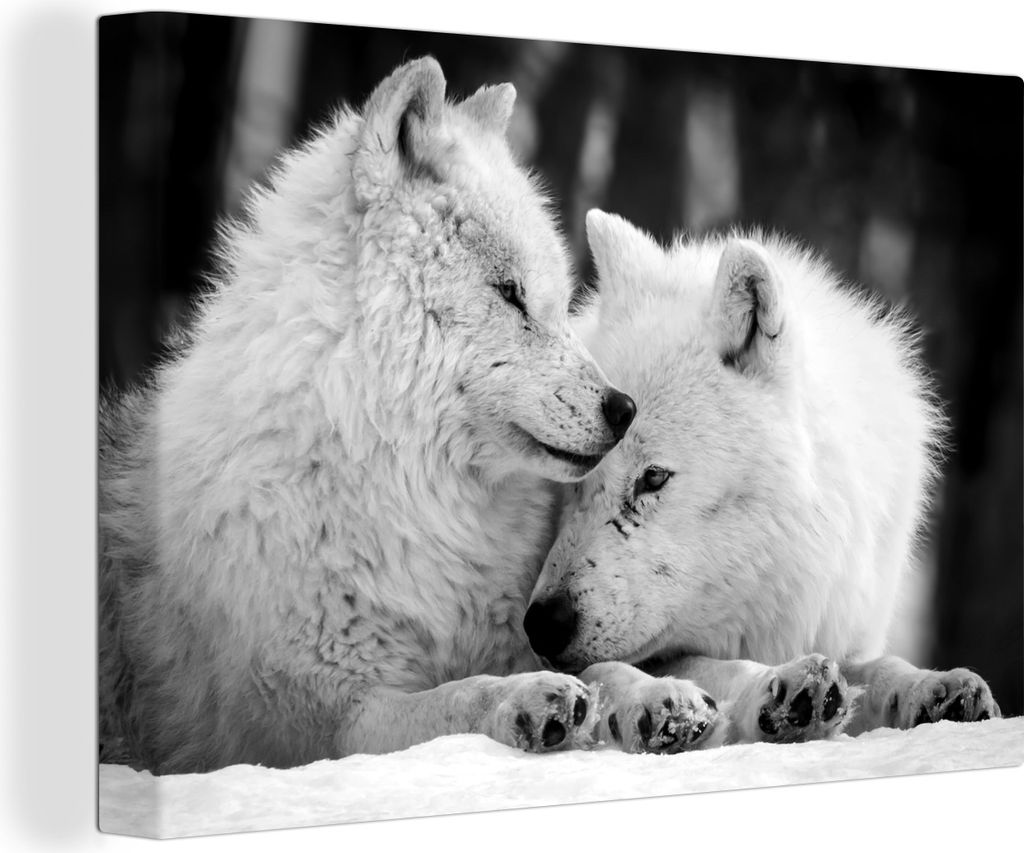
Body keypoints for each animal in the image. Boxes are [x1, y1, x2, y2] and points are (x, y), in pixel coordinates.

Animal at [99, 59, 726, 773]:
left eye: (560, 301)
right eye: (510, 294)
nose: (623, 409)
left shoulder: (523, 628)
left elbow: (600, 667)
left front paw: (659, 695)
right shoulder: (328, 723)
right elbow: (458, 696)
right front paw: (525, 700)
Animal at [524, 209, 1000, 749]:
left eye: (654, 478)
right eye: (575, 482)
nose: (542, 625)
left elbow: (881, 667)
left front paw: (934, 688)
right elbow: (701, 668)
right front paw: (771, 689)